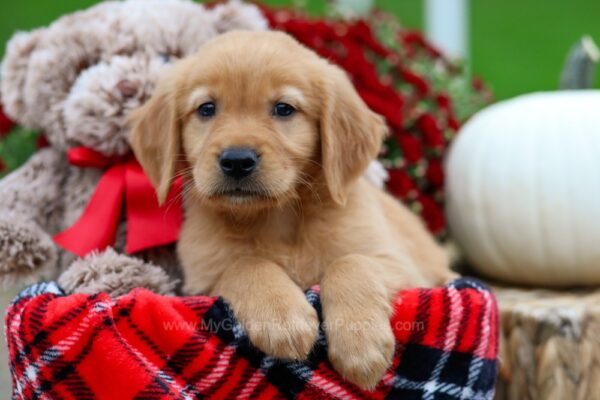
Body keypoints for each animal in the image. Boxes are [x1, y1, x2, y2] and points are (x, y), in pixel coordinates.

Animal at [130, 32, 454, 390]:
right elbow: (246, 263)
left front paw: (360, 345)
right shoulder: (201, 282)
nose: (237, 160)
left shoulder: (401, 267)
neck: (276, 220)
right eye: (206, 108)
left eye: (284, 109)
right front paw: (282, 317)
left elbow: (350, 262)